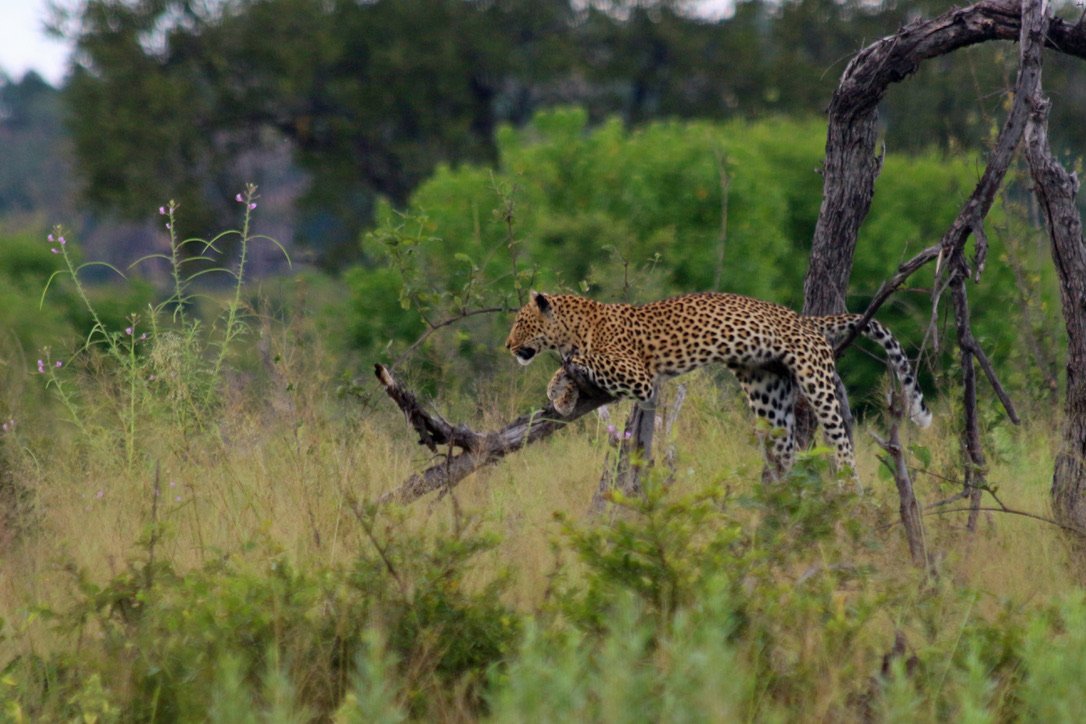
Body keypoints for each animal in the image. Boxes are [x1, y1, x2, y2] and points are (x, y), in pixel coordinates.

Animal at [505, 290, 931, 479]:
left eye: (520, 322)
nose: (507, 346)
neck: (575, 328)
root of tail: (805, 320)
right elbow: (565, 372)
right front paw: (560, 394)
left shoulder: (640, 376)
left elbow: (586, 361)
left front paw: (565, 377)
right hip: (767, 391)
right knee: (787, 447)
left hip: (816, 377)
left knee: (841, 438)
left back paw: (847, 482)